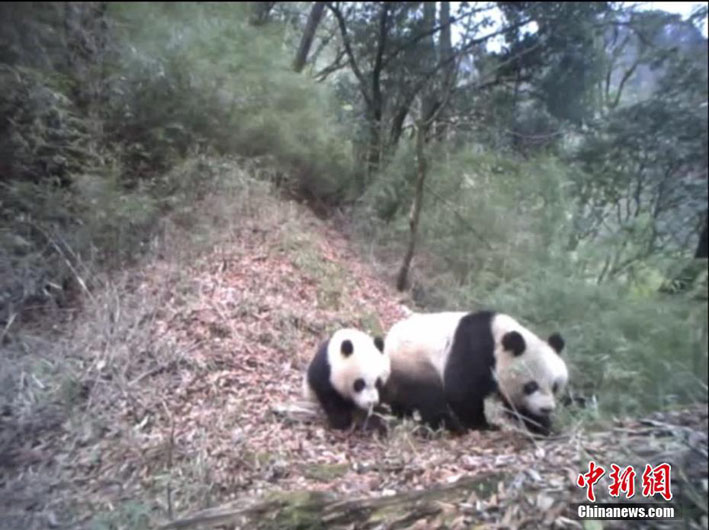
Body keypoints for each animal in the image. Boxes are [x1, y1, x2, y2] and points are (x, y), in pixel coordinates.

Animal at [378, 310, 568, 434]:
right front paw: (483, 425)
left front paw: (541, 426)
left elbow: (515, 404)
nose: (546, 409)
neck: (499, 335)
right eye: (531, 386)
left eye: (555, 386)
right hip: (415, 365)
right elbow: (461, 390)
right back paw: (448, 425)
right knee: (428, 398)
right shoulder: (474, 347)